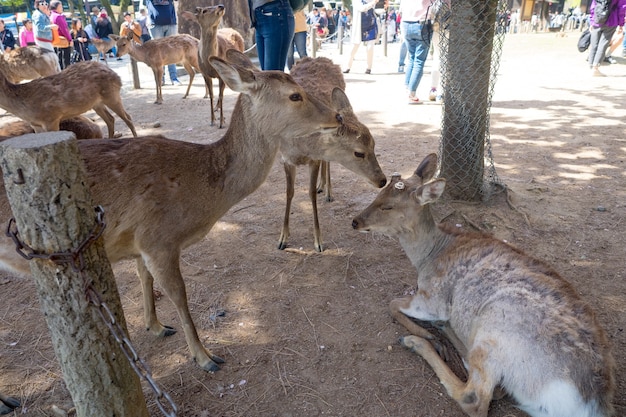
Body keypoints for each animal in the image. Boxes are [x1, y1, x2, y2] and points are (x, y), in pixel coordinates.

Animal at [0, 60, 137, 138]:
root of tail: (116, 74)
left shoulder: (51, 118)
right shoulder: (35, 124)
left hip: (112, 95)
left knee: (128, 118)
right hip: (96, 104)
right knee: (110, 119)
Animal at [352, 152, 616, 416]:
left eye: (388, 206)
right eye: (378, 195)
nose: (355, 221)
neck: (427, 257)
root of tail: (591, 404)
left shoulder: (432, 299)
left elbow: (392, 304)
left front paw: (423, 334)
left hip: (494, 329)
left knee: (475, 397)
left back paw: (419, 342)